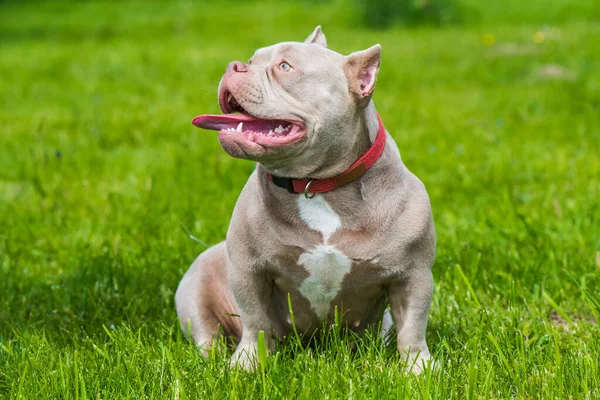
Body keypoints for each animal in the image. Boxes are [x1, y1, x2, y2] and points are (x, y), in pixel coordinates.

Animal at [175, 26, 436, 374]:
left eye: (286, 67)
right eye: (251, 61)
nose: (233, 66)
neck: (318, 185)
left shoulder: (413, 275)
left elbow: (413, 327)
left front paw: (419, 370)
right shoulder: (248, 270)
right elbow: (255, 320)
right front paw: (248, 364)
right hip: (195, 290)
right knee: (208, 335)